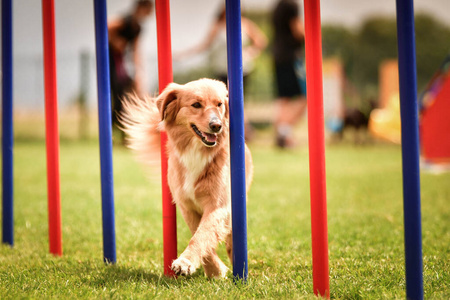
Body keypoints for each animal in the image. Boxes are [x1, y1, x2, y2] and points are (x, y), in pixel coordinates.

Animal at [119, 78, 253, 278]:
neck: (196, 151)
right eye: (196, 105)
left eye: (219, 104)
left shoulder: (218, 205)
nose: (217, 125)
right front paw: (214, 270)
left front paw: (186, 262)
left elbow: (202, 234)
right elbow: (197, 232)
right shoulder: (186, 205)